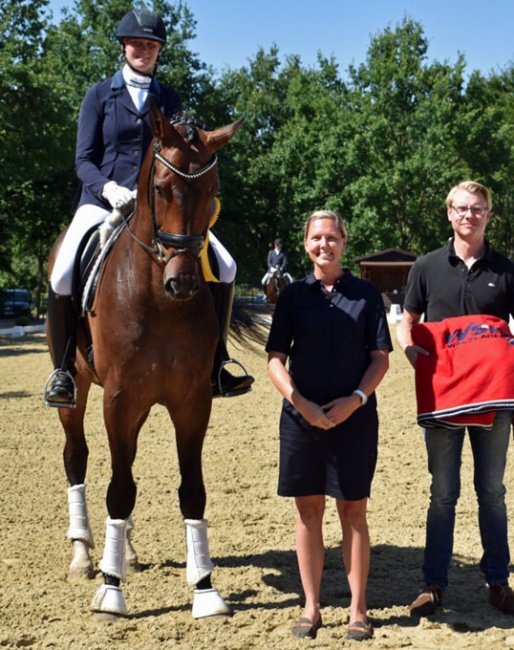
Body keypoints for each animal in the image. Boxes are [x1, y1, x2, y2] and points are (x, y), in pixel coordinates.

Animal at [45, 102, 242, 616]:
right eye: (160, 188)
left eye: (213, 191)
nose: (184, 283)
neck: (157, 298)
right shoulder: (118, 399)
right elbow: (119, 488)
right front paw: (111, 590)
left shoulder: (192, 402)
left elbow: (191, 490)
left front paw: (205, 588)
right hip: (79, 390)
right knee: (78, 458)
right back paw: (84, 554)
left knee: (126, 463)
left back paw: (127, 551)